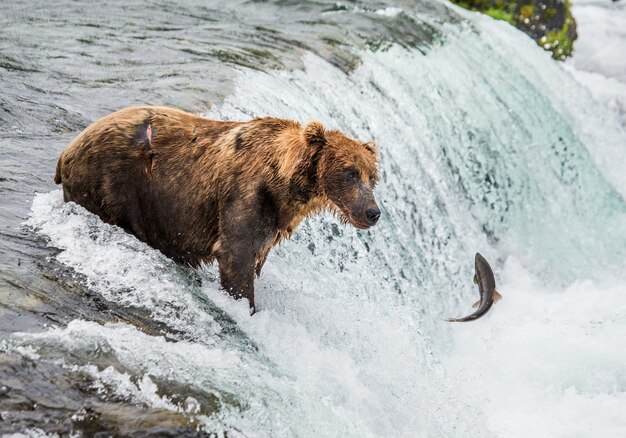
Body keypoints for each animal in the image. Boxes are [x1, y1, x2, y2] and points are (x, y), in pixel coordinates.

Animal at [56, 105, 380, 312]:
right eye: (350, 172)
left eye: (371, 176)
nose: (373, 212)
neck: (286, 184)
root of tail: (67, 150)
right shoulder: (245, 196)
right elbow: (237, 258)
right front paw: (246, 306)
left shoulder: (272, 222)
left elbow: (256, 258)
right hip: (110, 184)